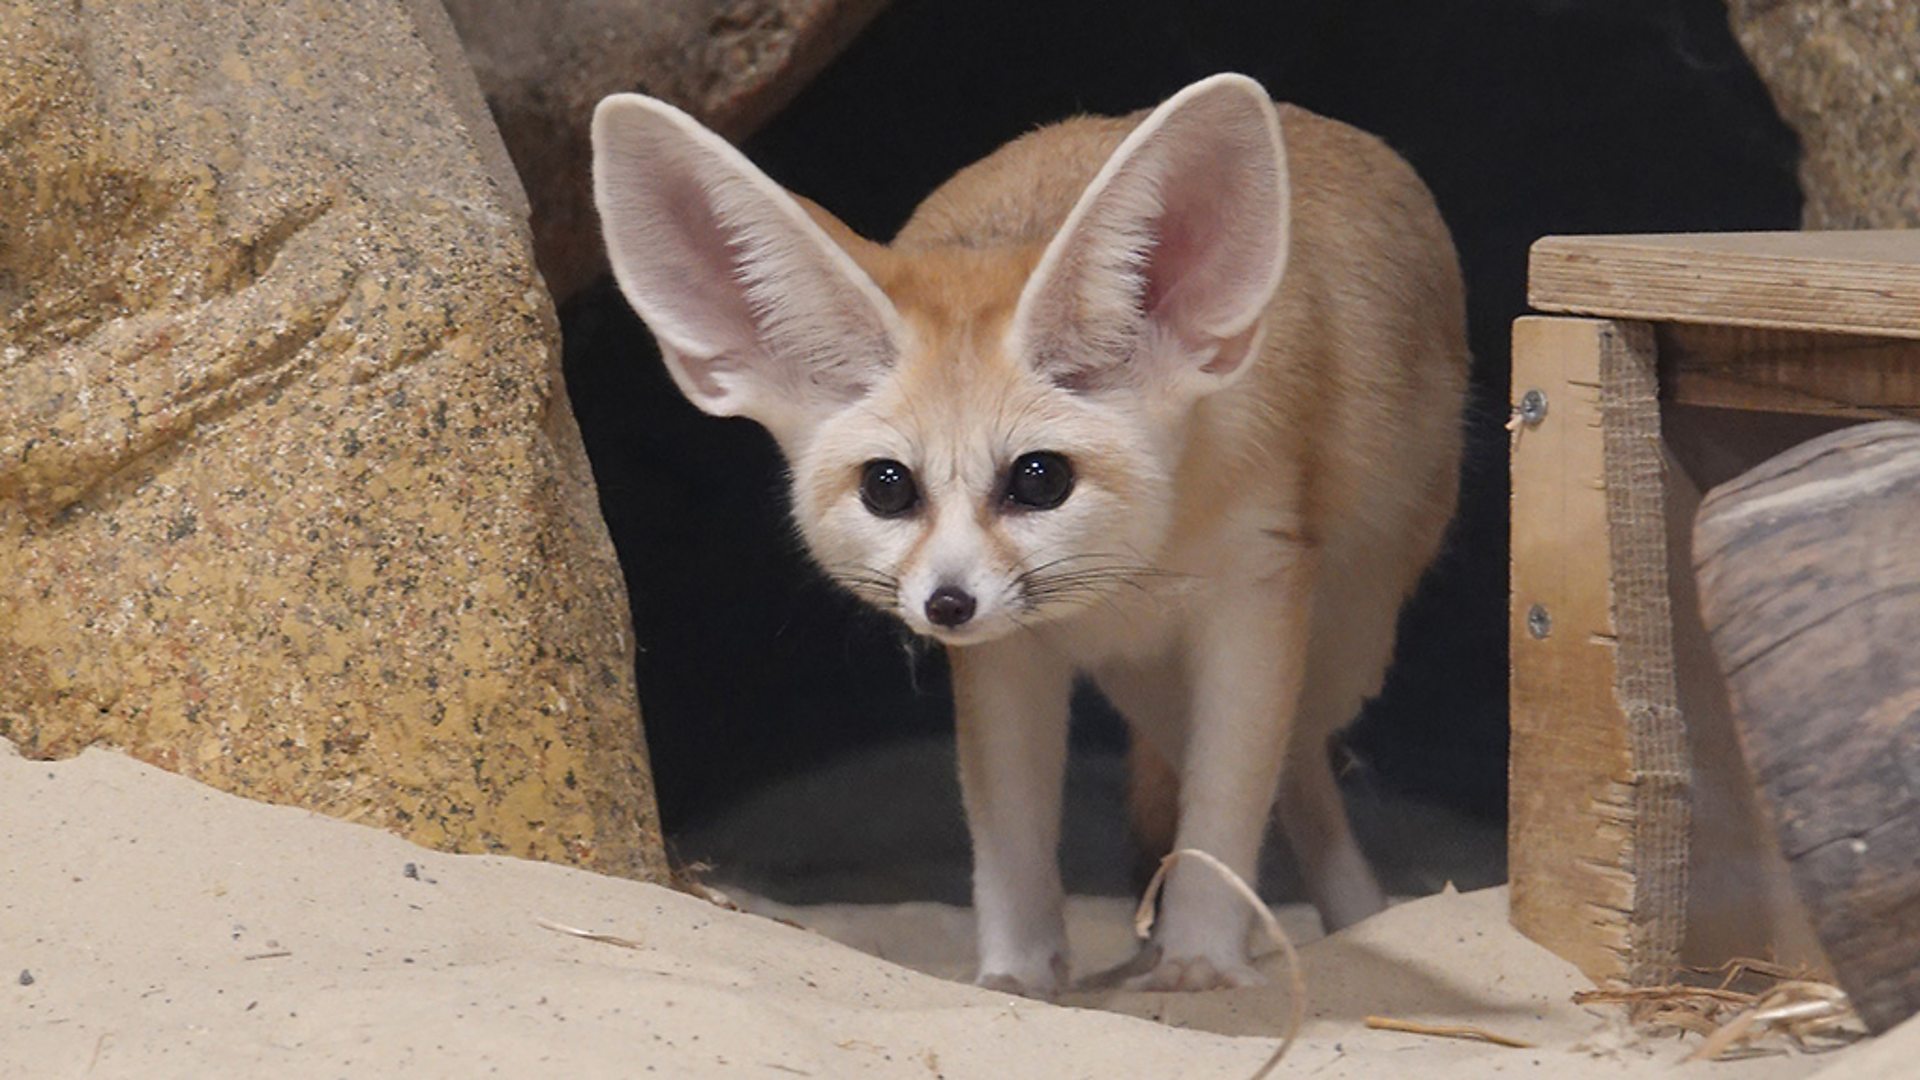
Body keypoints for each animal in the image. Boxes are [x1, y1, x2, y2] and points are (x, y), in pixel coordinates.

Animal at [591, 73, 1467, 996]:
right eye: (887, 487)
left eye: (1040, 479)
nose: (946, 604)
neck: (1132, 575)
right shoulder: (1006, 654)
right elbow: (1008, 830)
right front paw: (1018, 976)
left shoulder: (1255, 601)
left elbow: (1225, 806)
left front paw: (1199, 961)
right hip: (1152, 684)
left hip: (1346, 643)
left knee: (1299, 763)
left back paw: (1350, 915)